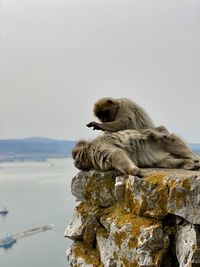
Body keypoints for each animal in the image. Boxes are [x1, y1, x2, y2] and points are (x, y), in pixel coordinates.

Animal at [72, 129, 200, 177]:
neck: (89, 151)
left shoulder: (99, 146)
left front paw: (132, 170)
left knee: (176, 146)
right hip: (162, 158)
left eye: (75, 157)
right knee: (168, 162)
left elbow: (116, 153)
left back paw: (195, 160)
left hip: (163, 139)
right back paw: (187, 164)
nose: (74, 164)